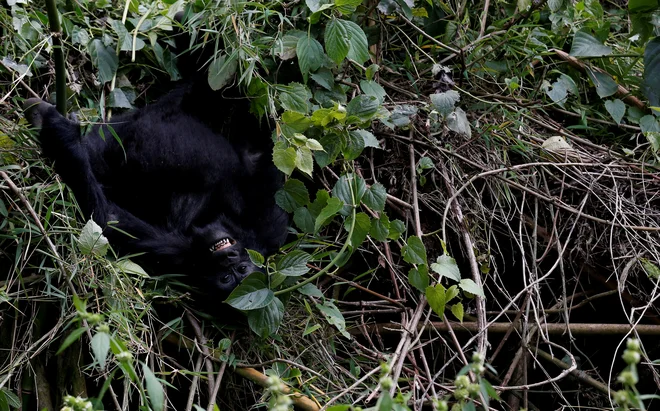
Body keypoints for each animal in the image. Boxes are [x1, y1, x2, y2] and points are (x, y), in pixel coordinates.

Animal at [24, 34, 288, 302]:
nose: (228, 256)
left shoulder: (178, 254)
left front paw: (64, 137)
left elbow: (106, 219)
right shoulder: (271, 228)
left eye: (233, 274)